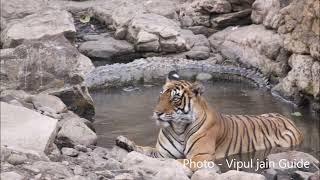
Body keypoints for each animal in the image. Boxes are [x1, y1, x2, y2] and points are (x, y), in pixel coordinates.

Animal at [115, 71, 302, 171]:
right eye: (160, 96)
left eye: (175, 99)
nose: (157, 113)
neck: (178, 128)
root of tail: (289, 120)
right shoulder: (162, 152)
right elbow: (145, 149)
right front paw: (124, 141)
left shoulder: (200, 156)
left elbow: (174, 162)